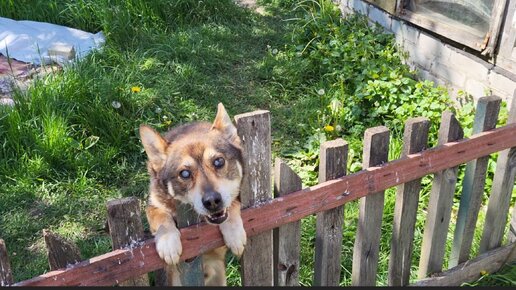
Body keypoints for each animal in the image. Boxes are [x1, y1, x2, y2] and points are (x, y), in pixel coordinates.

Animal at [139, 102, 248, 286]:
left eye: (219, 161)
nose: (212, 201)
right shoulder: (154, 203)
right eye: (184, 173)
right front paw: (168, 242)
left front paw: (234, 234)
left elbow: (233, 204)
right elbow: (160, 216)